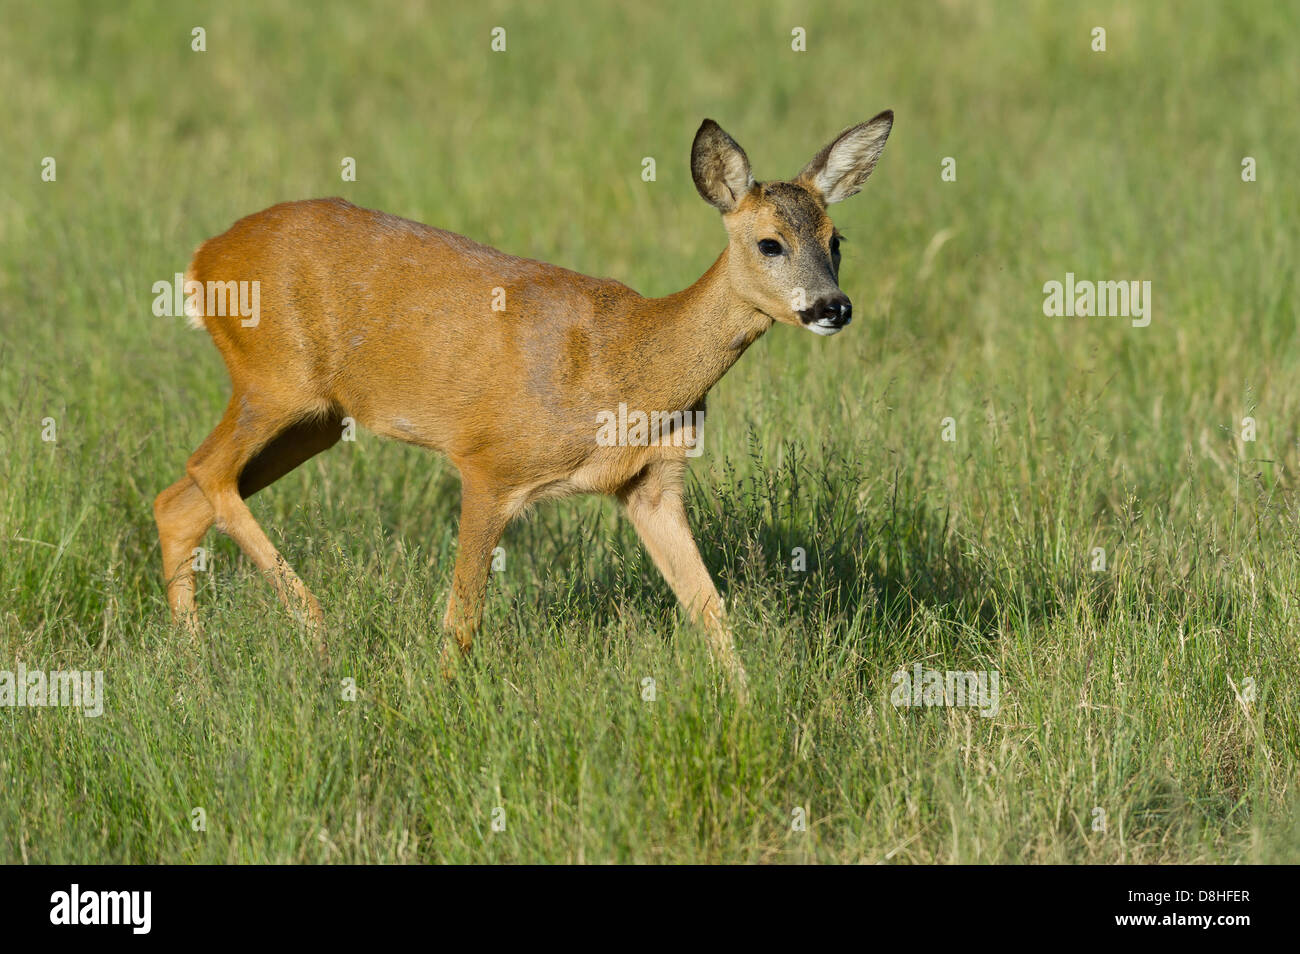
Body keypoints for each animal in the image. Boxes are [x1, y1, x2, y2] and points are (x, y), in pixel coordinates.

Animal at [154, 111, 894, 696]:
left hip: (320, 418)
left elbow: (709, 609)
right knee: (204, 472)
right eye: (770, 241)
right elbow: (462, 618)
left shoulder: (650, 483)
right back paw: (315, 626)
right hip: (273, 381)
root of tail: (201, 262)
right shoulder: (488, 462)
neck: (626, 362)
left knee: (178, 501)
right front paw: (440, 704)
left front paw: (750, 706)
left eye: (836, 240)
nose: (833, 307)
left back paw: (196, 666)